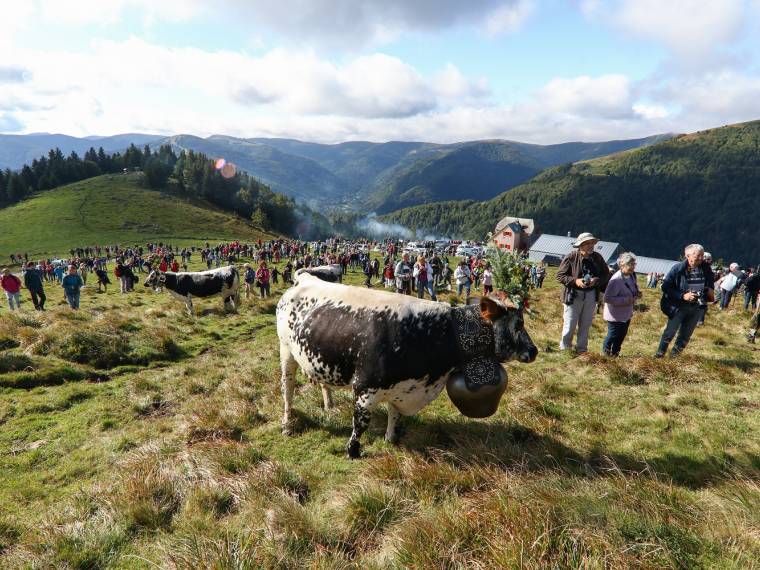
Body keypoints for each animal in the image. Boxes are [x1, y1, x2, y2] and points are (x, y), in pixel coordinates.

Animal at [276, 272, 536, 458]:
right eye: (519, 323)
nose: (534, 350)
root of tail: (304, 277)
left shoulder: (401, 386)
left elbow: (395, 414)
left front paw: (391, 439)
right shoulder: (365, 388)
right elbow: (360, 423)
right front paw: (353, 451)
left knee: (322, 384)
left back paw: (329, 406)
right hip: (286, 352)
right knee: (287, 390)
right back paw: (287, 423)